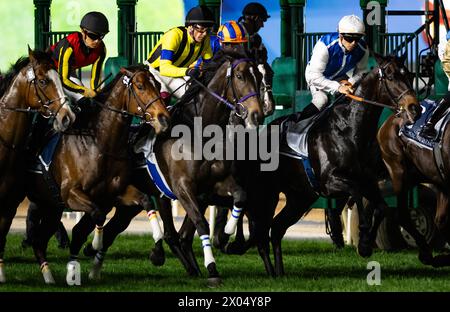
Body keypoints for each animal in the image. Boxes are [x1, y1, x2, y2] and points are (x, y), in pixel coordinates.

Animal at [23, 64, 171, 284]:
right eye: (140, 86)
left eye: (158, 86)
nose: (164, 119)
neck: (101, 143)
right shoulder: (72, 194)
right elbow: (97, 216)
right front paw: (93, 246)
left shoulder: (113, 193)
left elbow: (145, 201)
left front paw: (158, 253)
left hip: (51, 205)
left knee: (40, 240)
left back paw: (50, 275)